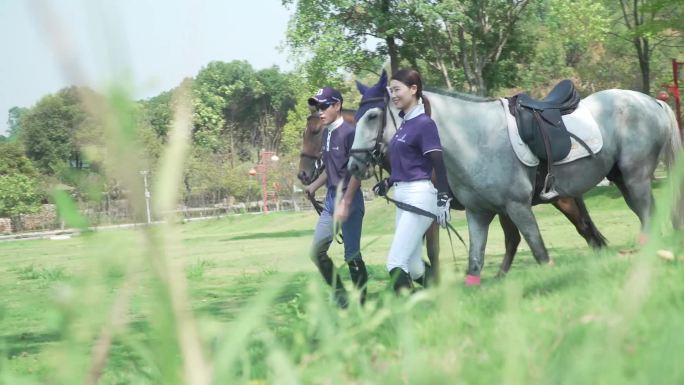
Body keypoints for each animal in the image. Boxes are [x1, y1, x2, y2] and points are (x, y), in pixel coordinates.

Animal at [350, 71, 680, 280]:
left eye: (373, 116)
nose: (353, 166)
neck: (474, 137)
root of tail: (652, 102)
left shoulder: (517, 206)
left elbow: (537, 249)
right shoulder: (480, 213)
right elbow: (475, 262)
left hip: (635, 177)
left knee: (644, 215)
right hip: (621, 179)